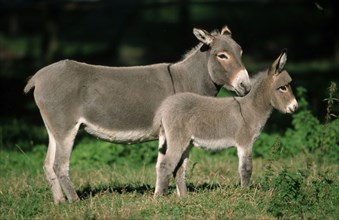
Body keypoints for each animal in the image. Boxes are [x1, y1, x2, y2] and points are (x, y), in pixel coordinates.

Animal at [155, 50, 298, 196]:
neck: (251, 108)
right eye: (282, 88)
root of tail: (165, 105)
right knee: (165, 165)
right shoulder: (245, 143)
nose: (295, 107)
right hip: (178, 140)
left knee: (179, 169)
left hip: (187, 143)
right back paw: (160, 197)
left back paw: (184, 197)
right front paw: (245, 194)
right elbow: (246, 169)